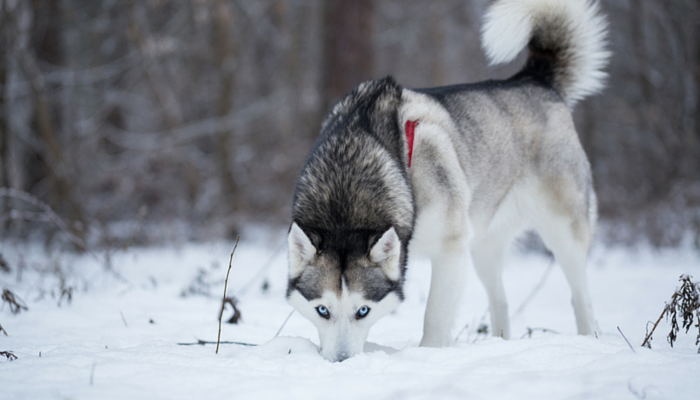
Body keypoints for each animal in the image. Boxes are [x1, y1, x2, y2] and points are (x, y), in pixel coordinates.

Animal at [284, 0, 608, 362]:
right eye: (322, 310)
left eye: (363, 310)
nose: (342, 362)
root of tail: (535, 81)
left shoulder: (450, 250)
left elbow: (435, 318)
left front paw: (427, 356)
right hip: (484, 245)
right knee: (500, 300)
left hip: (562, 231)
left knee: (580, 296)